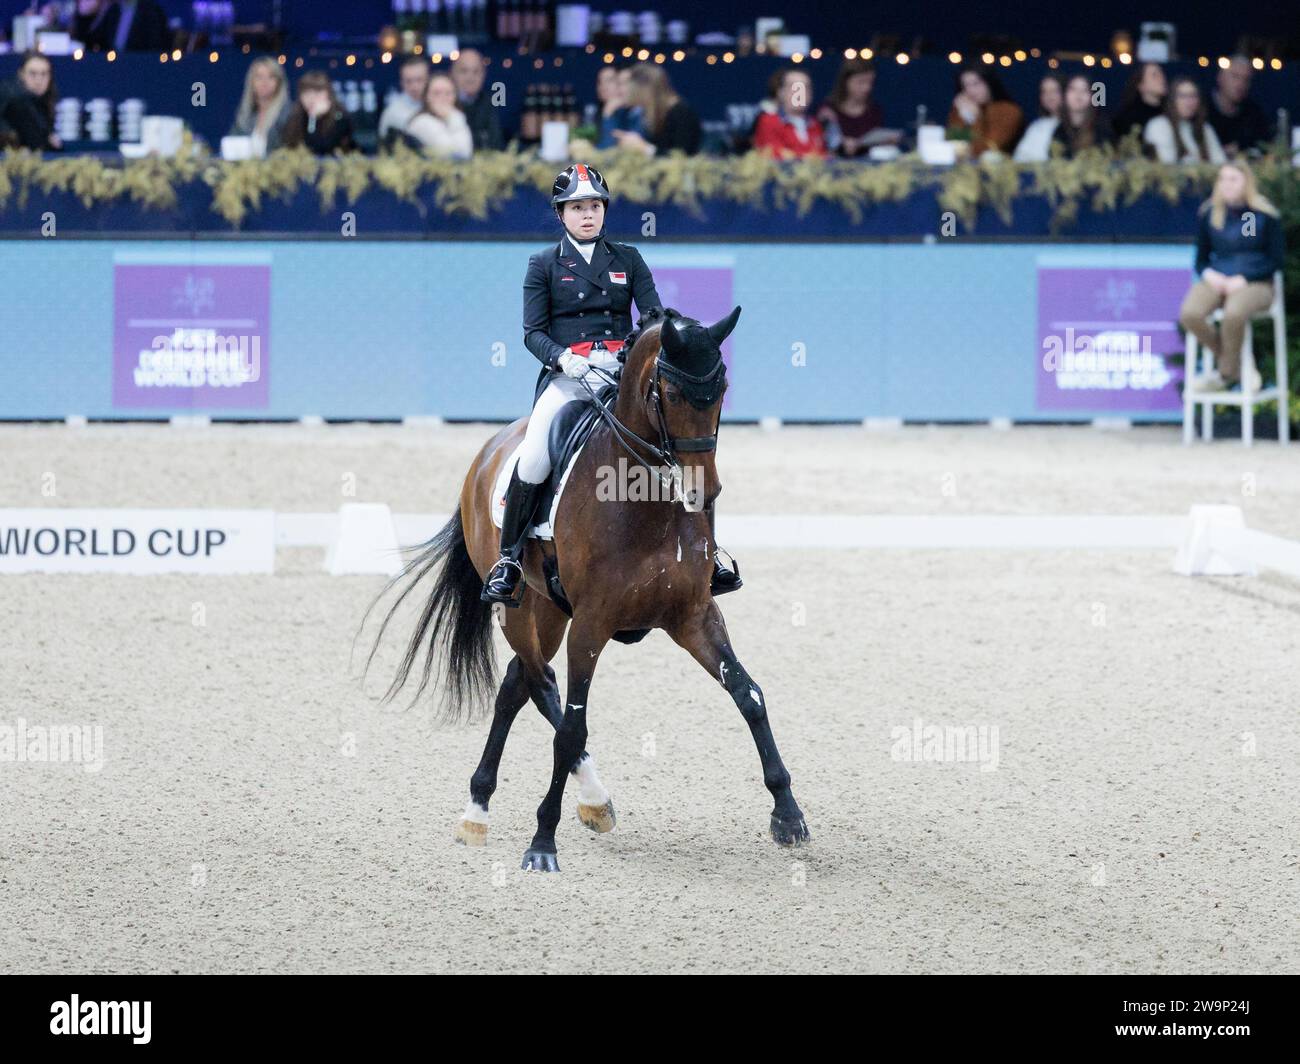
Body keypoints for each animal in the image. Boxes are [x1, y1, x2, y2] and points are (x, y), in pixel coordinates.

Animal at [366, 306, 806, 868]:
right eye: (670, 392)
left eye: (722, 389)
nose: (702, 491)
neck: (641, 505)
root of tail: (489, 450)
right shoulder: (591, 625)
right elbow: (573, 726)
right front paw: (542, 844)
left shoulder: (693, 615)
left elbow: (748, 693)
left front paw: (788, 815)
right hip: (518, 609)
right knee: (539, 684)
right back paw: (554, 804)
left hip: (550, 610)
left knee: (516, 684)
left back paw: (487, 806)